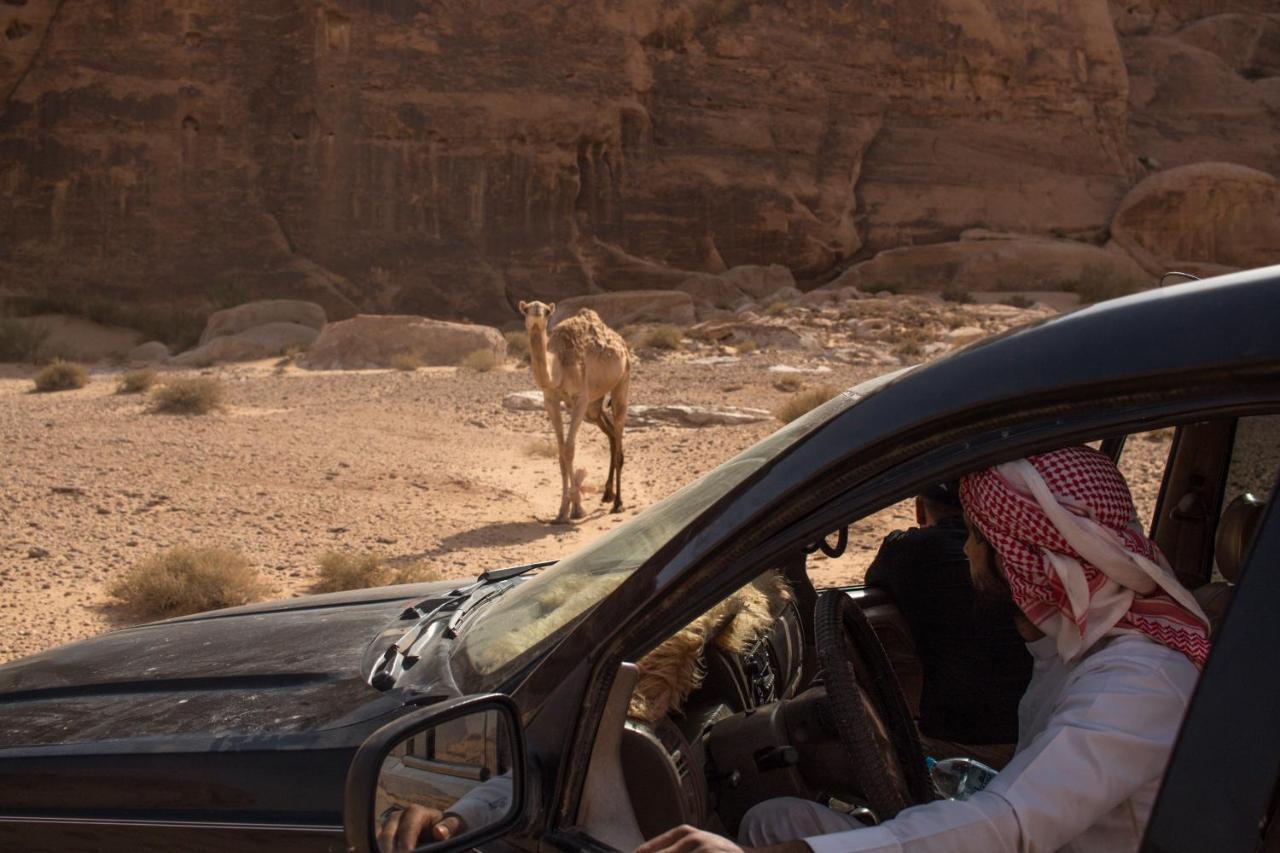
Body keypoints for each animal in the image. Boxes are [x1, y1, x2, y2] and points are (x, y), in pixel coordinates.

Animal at [519, 298, 629, 525]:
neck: (558, 366)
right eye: (526, 310)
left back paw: (618, 503)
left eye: (546, 311)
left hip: (622, 380)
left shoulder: (580, 398)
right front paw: (562, 512)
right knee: (612, 433)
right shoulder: (550, 400)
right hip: (594, 406)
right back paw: (607, 494)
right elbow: (562, 452)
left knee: (619, 424)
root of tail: (622, 343)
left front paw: (577, 509)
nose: (537, 316)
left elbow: (570, 449)